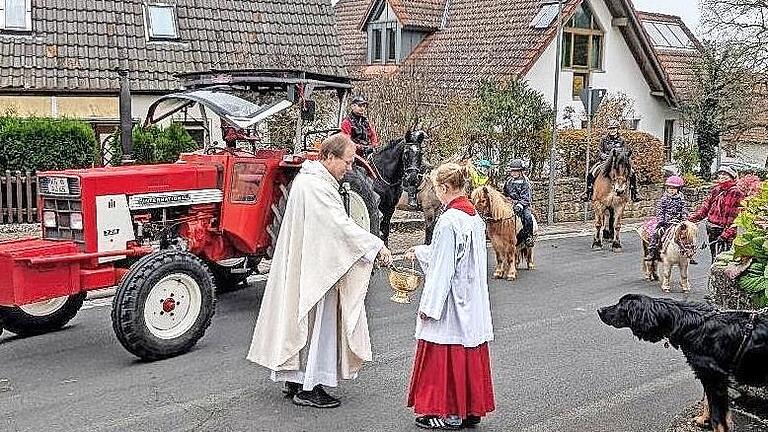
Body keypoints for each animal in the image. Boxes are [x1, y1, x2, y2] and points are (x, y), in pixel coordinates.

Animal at [600, 294, 768, 432]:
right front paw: (703, 419)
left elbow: (717, 418)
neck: (690, 322)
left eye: (621, 305)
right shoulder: (709, 376)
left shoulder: (714, 377)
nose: (599, 310)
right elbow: (707, 402)